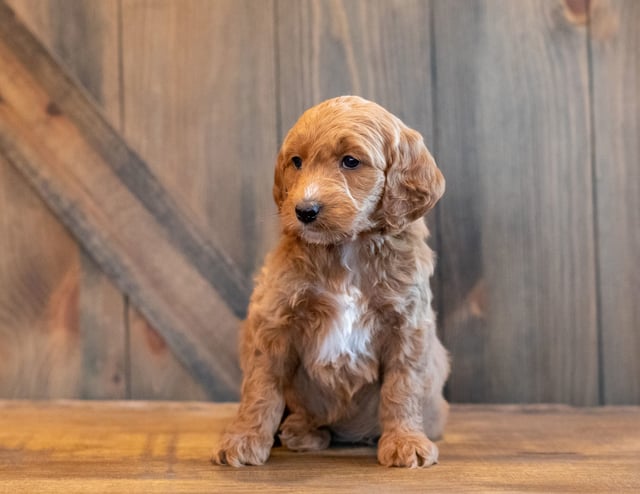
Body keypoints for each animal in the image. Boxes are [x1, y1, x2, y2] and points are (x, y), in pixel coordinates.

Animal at [212, 95, 448, 466]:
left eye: (350, 161)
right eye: (296, 161)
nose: (304, 210)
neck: (346, 248)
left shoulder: (408, 324)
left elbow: (402, 385)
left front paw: (405, 441)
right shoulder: (273, 319)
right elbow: (261, 386)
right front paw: (244, 439)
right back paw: (301, 432)